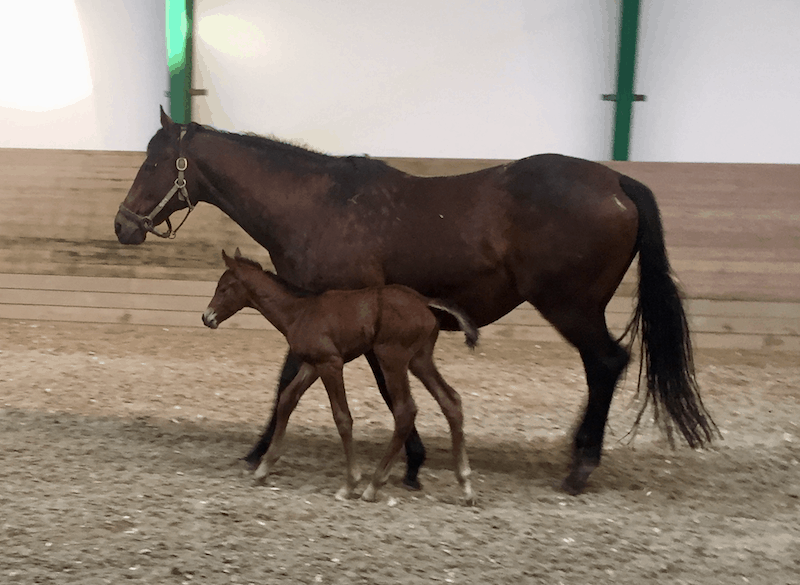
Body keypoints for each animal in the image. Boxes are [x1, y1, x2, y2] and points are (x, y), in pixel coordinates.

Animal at [206, 249, 478, 504]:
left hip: (392, 358)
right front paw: (263, 469)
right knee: (451, 400)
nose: (206, 317)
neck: (300, 311)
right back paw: (465, 485)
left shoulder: (331, 364)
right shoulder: (313, 365)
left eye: (224, 288)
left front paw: (350, 483)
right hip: (420, 360)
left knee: (405, 412)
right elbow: (287, 400)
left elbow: (342, 417)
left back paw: (373, 486)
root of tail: (424, 301)